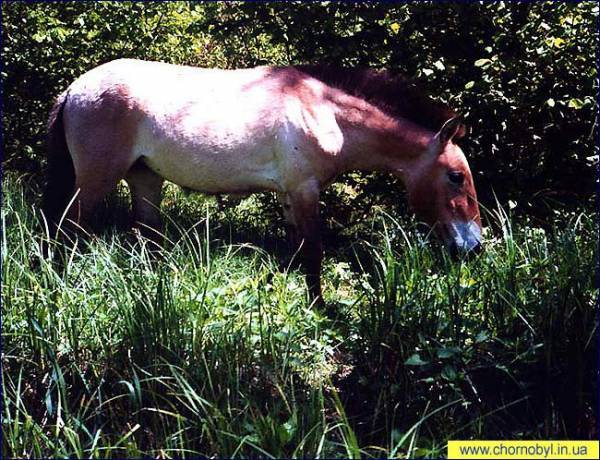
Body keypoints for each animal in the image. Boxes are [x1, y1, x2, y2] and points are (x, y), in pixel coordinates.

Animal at [42, 58, 482, 302]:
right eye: (456, 177)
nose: (473, 246)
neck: (324, 113)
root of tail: (75, 88)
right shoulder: (304, 190)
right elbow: (314, 253)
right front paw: (319, 309)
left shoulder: (289, 196)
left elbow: (298, 252)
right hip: (96, 182)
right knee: (66, 232)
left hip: (146, 181)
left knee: (145, 238)